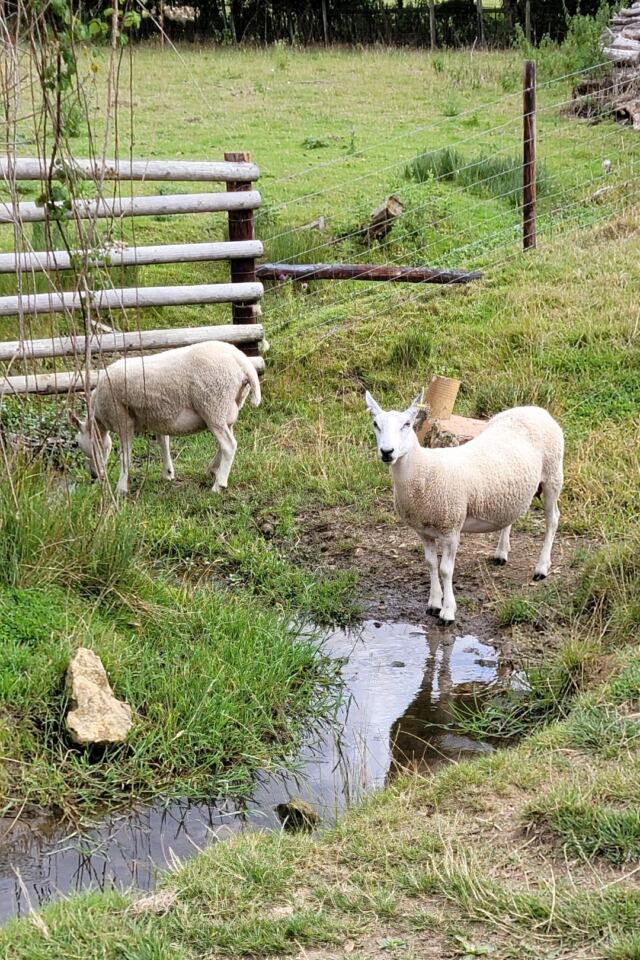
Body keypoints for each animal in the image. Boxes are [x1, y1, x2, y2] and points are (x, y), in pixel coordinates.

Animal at [69, 341, 261, 495]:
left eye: (78, 444)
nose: (94, 476)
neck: (100, 417)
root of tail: (242, 361)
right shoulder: (158, 418)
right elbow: (164, 443)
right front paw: (168, 473)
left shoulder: (123, 419)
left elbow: (125, 456)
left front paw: (121, 489)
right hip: (228, 407)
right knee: (225, 442)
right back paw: (212, 470)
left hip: (213, 405)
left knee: (229, 445)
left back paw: (218, 485)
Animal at [365, 392, 564, 624]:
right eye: (375, 424)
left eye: (407, 424)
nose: (387, 452)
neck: (423, 470)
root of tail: (534, 409)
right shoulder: (423, 531)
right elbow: (431, 564)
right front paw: (434, 603)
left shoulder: (451, 527)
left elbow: (445, 570)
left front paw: (448, 611)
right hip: (511, 491)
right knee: (510, 517)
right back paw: (501, 553)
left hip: (553, 475)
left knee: (553, 520)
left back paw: (541, 568)